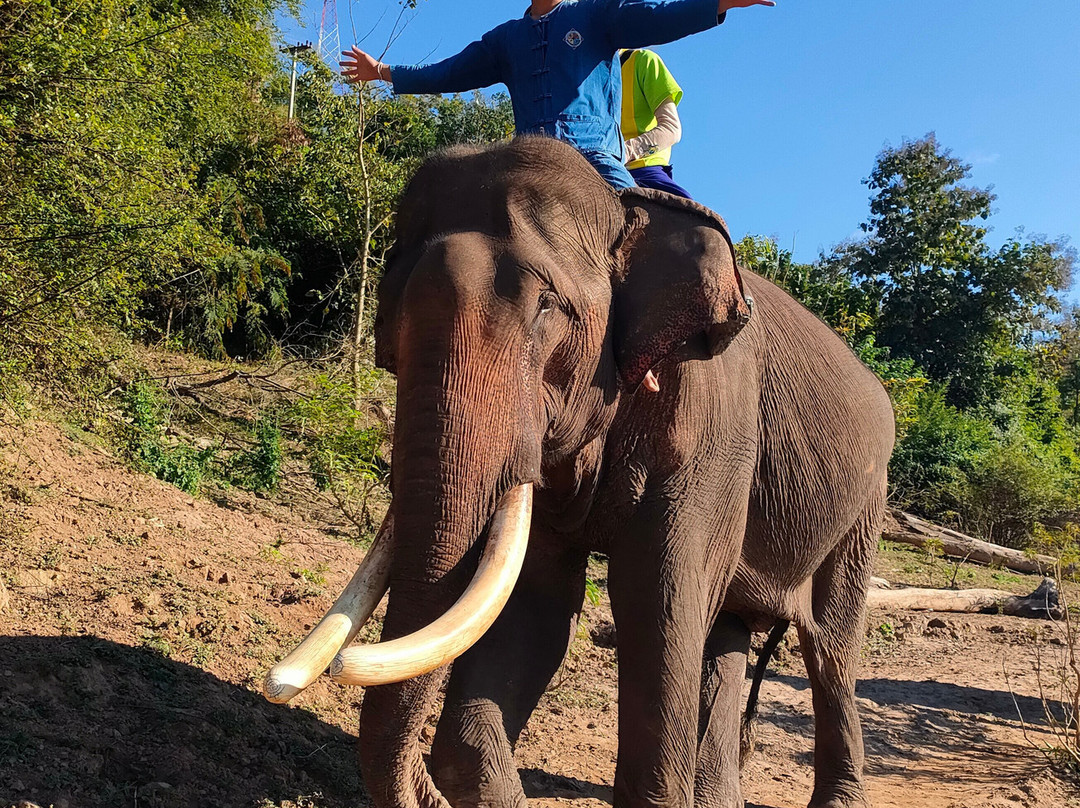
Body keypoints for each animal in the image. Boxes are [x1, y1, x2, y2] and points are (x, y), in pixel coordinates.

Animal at [269, 136, 895, 808]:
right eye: (387, 326)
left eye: (548, 308)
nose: (341, 663)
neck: (627, 213)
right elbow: (536, 601)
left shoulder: (713, 425)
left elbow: (657, 592)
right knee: (727, 631)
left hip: (865, 509)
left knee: (830, 649)